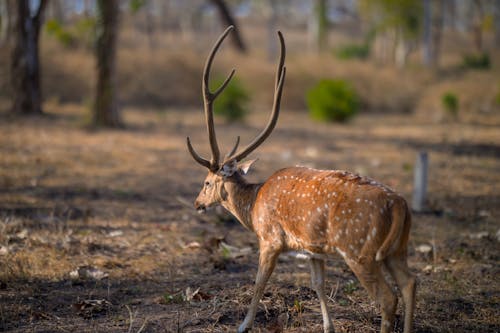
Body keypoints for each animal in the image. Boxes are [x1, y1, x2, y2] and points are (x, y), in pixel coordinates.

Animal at [186, 26, 416, 332]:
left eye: (207, 182)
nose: (197, 203)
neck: (253, 207)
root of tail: (400, 205)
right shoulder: (312, 250)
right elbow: (318, 284)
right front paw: (328, 327)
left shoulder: (270, 238)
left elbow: (259, 282)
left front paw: (243, 325)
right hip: (397, 249)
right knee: (410, 283)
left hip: (360, 252)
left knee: (388, 298)